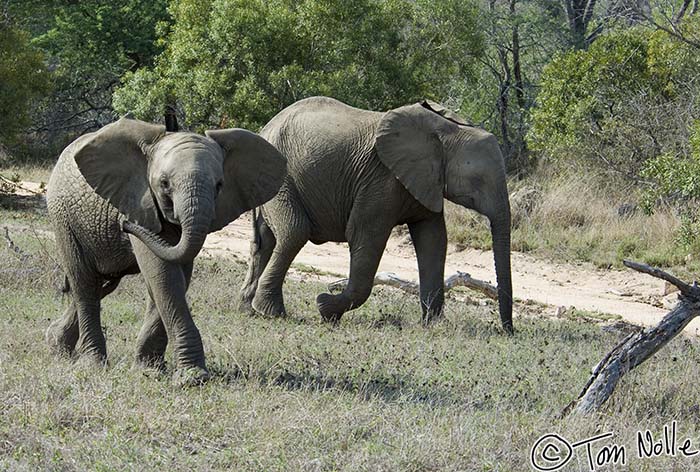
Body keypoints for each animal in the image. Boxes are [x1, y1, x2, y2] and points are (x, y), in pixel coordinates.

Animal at [45, 116, 284, 386]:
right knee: (84, 282)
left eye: (219, 185)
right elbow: (163, 274)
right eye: (164, 184)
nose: (124, 225)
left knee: (102, 283)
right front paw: (192, 377)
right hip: (63, 217)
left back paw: (56, 345)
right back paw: (91, 364)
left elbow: (174, 277)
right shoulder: (140, 202)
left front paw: (149, 370)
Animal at [242, 96, 516, 332]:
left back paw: (249, 308)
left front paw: (434, 326)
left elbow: (434, 241)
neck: (447, 130)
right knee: (294, 232)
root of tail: (267, 127)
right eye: (478, 180)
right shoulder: (381, 179)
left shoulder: (424, 181)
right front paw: (325, 307)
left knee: (266, 241)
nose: (508, 331)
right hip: (283, 178)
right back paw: (271, 312)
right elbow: (366, 236)